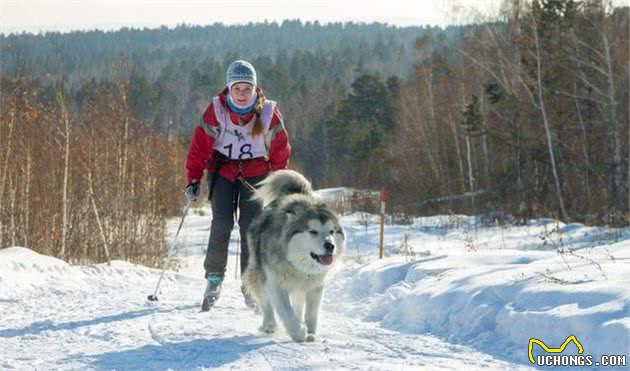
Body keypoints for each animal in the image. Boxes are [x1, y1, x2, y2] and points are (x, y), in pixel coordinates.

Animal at [244, 169, 346, 342]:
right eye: (313, 231)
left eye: (332, 231)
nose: (330, 246)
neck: (296, 264)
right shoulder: (275, 284)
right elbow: (286, 312)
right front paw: (298, 332)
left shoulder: (315, 286)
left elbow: (311, 314)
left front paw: (311, 333)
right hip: (260, 274)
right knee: (266, 304)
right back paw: (269, 325)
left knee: (297, 305)